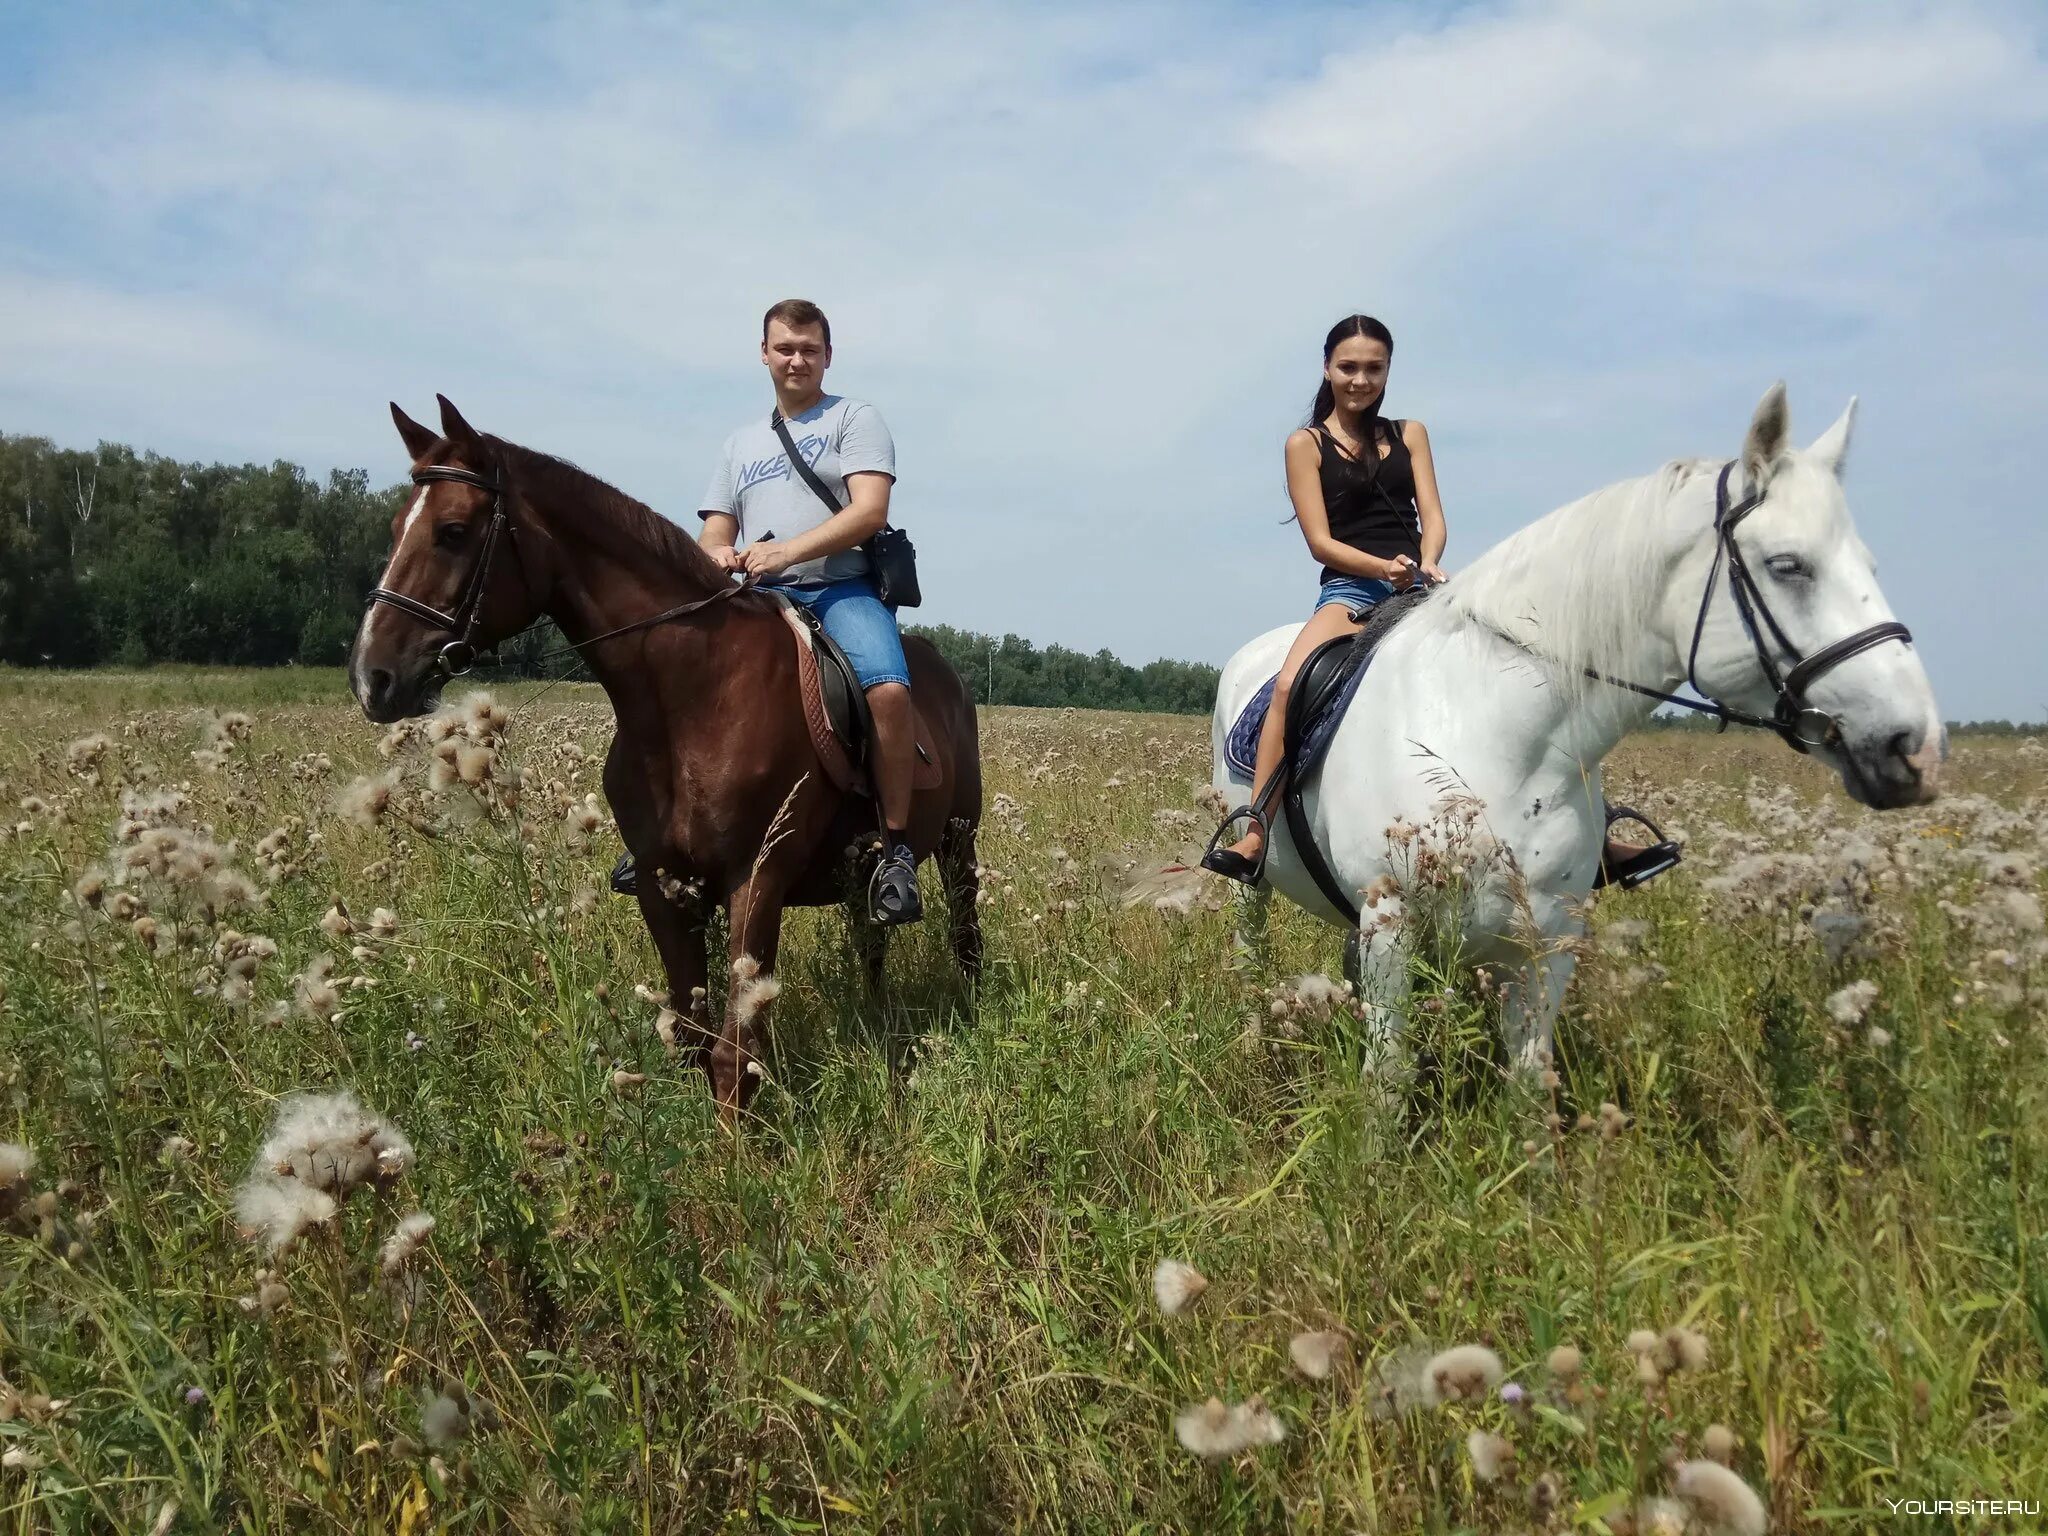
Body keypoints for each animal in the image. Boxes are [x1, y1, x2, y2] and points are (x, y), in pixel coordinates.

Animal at [346, 399, 983, 1122]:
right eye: (396, 526)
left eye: (452, 532)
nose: (372, 678)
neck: (689, 696)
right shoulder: (662, 882)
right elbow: (689, 1035)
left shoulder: (755, 878)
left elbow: (734, 1049)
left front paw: (736, 1149)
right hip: (857, 873)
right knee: (871, 944)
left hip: (958, 842)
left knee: (964, 937)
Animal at [1204, 385, 1941, 1073]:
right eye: (1788, 565)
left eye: (1870, 565)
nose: (1916, 749)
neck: (1493, 739)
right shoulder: (1391, 922)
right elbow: (1388, 1079)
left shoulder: (1547, 945)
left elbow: (1531, 1087)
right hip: (1255, 888)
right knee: (1250, 952)